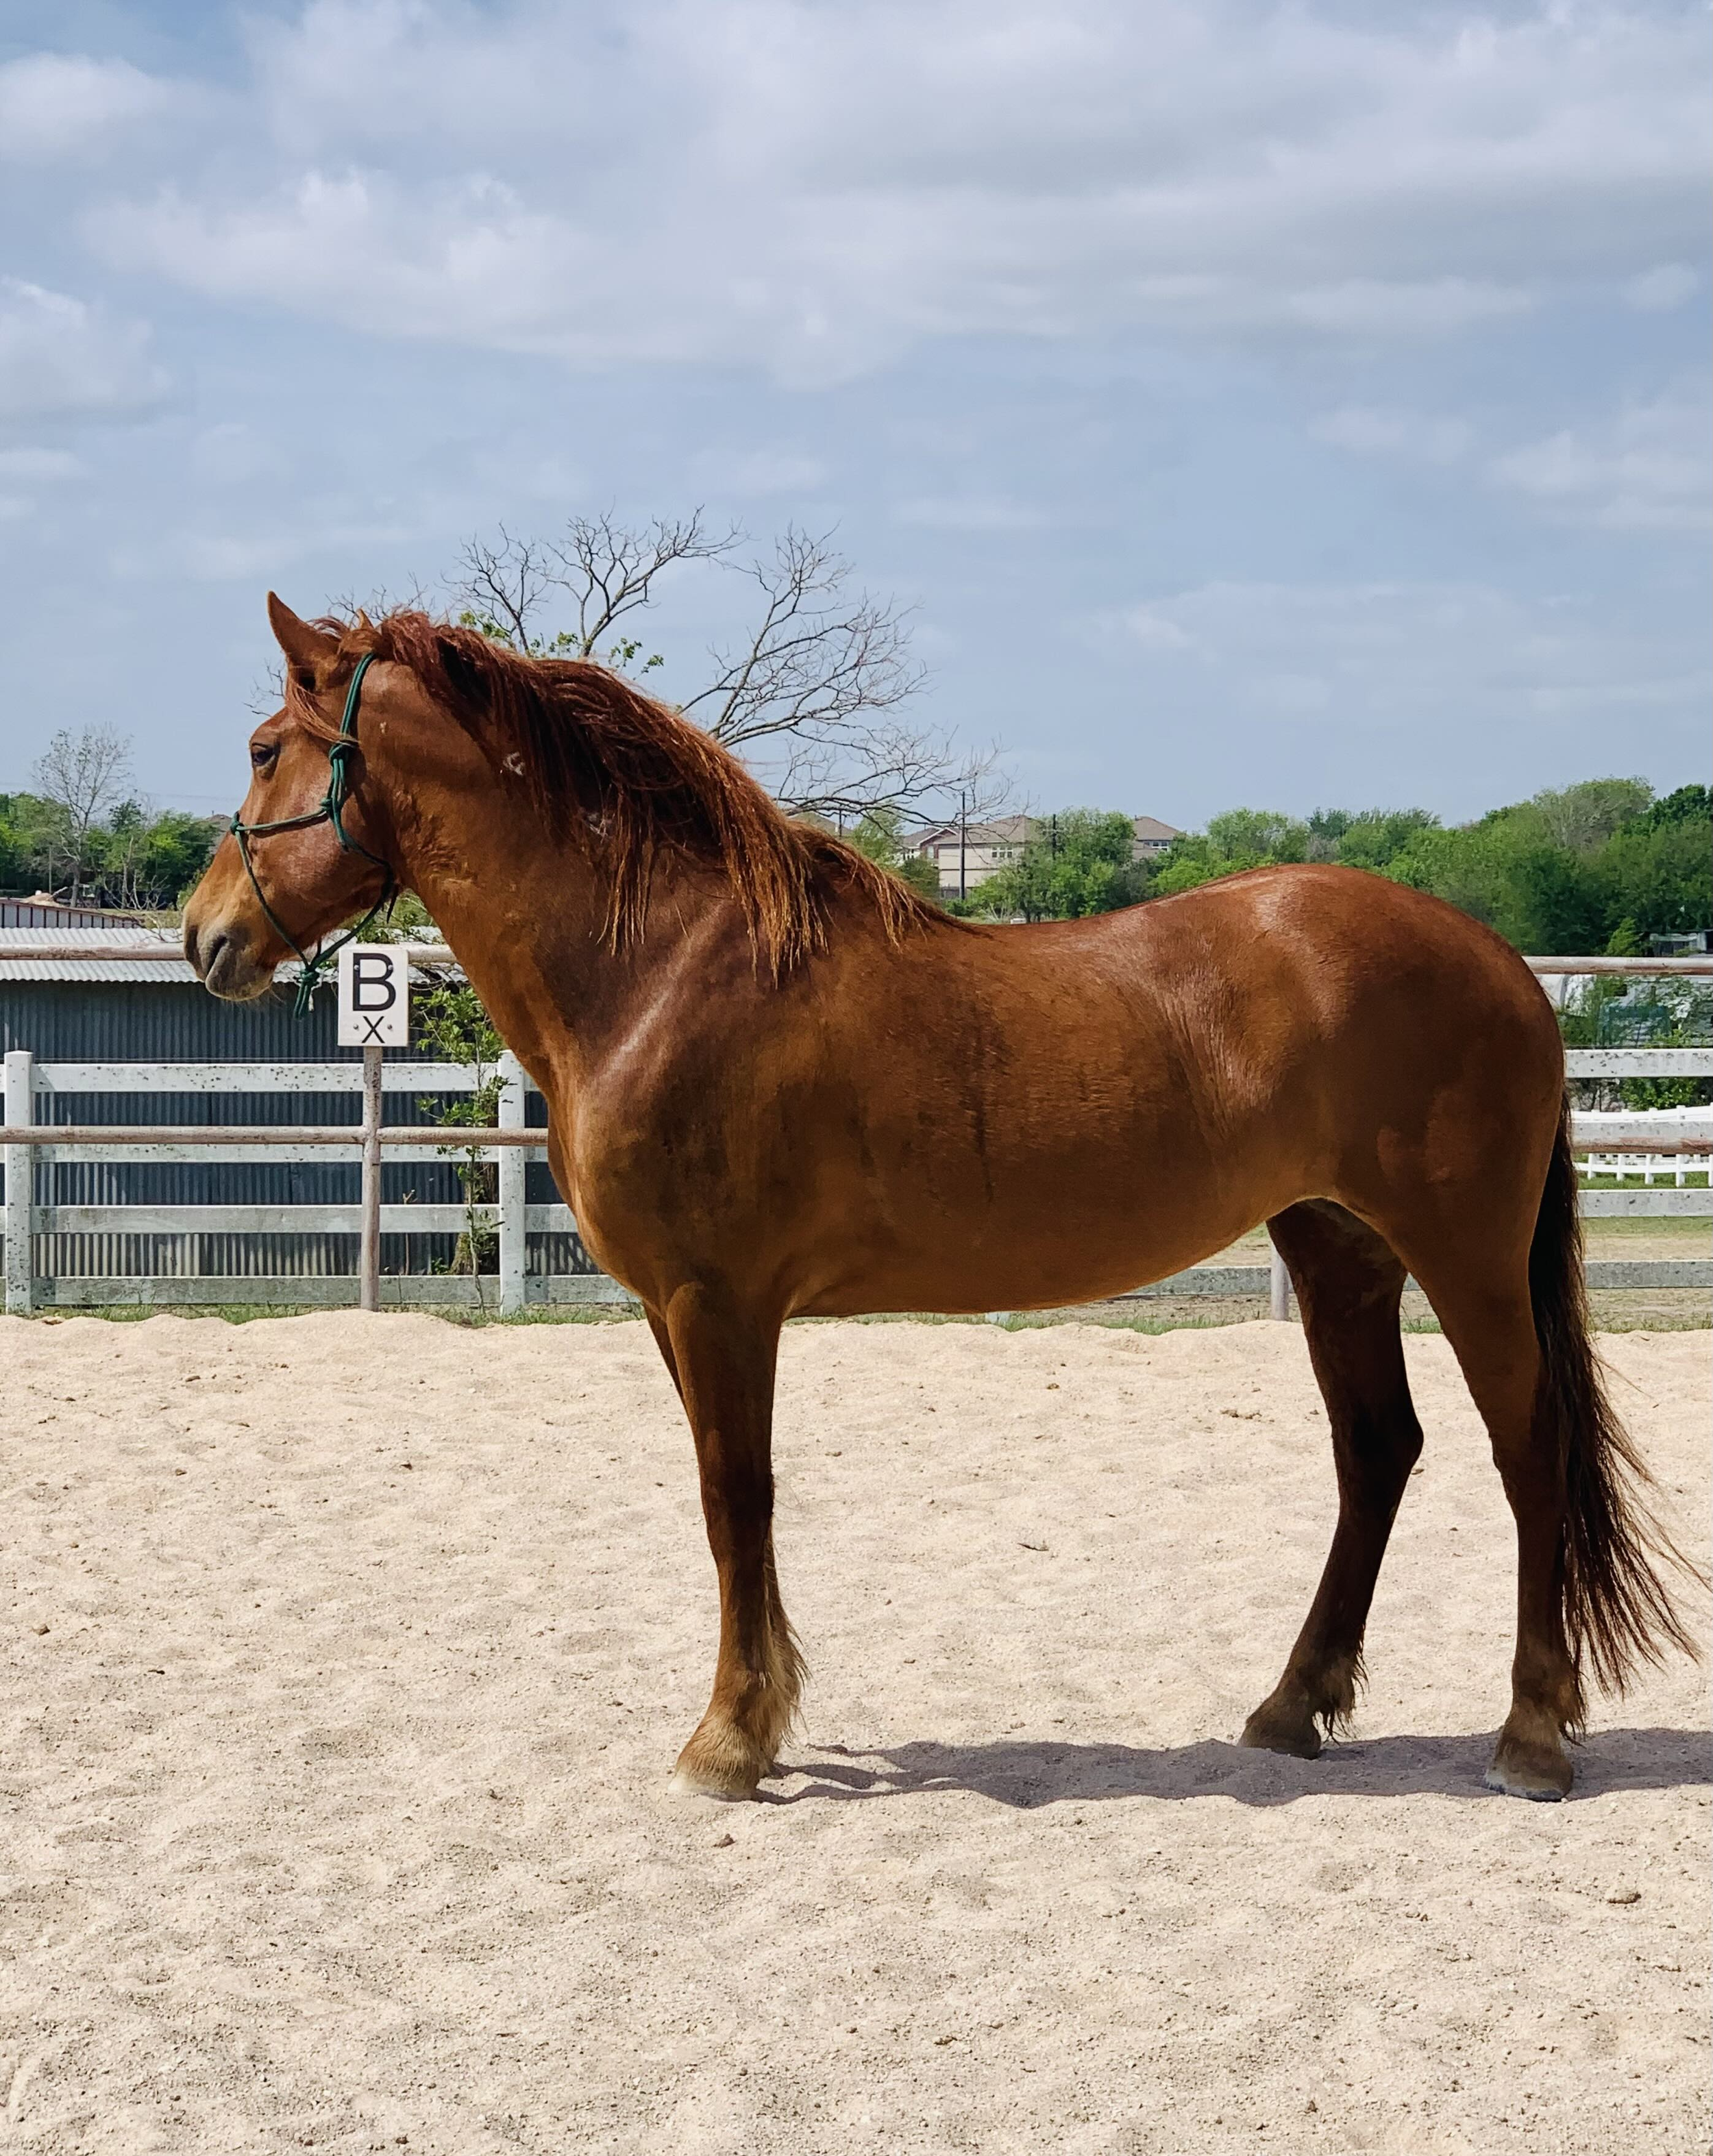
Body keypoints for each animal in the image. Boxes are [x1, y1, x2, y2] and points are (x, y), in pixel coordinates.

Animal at [183, 594, 1697, 1804]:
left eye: (263, 749)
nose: (204, 936)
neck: (662, 967)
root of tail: (1498, 962)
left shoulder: (719, 1302)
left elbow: (735, 1495)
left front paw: (729, 1739)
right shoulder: (681, 1312)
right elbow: (729, 1503)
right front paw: (763, 1714)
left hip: (1461, 1254)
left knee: (1527, 1451)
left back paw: (1530, 1736)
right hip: (1338, 1250)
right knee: (1377, 1450)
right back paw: (1289, 1707)